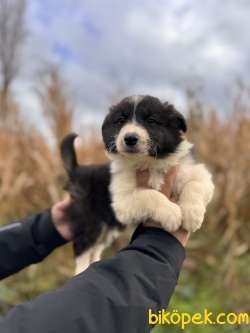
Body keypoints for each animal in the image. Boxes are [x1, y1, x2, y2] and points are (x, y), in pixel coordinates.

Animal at [61, 94, 215, 274]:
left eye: (152, 120)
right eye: (121, 120)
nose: (130, 138)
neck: (148, 163)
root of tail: (77, 169)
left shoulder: (197, 174)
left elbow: (195, 185)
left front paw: (192, 215)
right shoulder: (122, 202)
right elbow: (149, 194)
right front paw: (172, 214)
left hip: (107, 227)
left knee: (96, 247)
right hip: (90, 221)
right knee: (82, 249)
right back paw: (81, 271)